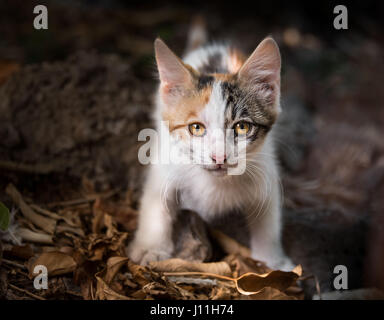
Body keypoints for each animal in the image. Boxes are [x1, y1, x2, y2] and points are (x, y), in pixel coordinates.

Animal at [129, 26, 294, 270]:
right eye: (196, 128)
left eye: (242, 127)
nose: (219, 157)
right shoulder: (165, 162)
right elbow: (155, 202)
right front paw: (151, 248)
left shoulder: (265, 167)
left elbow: (268, 220)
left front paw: (274, 261)